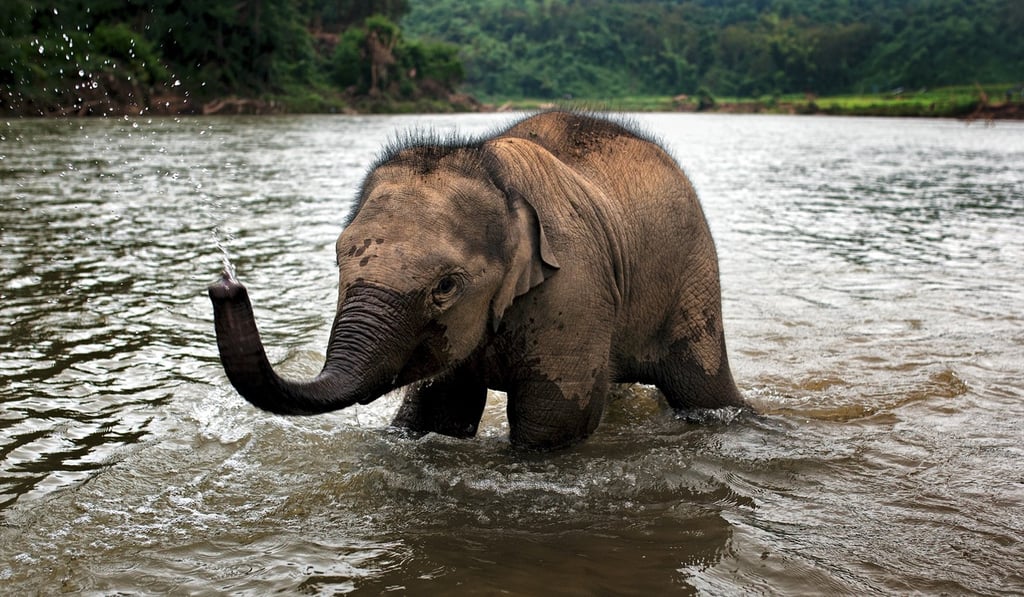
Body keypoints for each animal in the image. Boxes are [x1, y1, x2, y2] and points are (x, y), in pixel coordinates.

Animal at [209, 110, 748, 450]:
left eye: (445, 286)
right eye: (338, 260)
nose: (225, 286)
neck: (495, 172)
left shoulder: (574, 288)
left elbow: (553, 421)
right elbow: (442, 409)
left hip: (693, 273)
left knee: (701, 389)